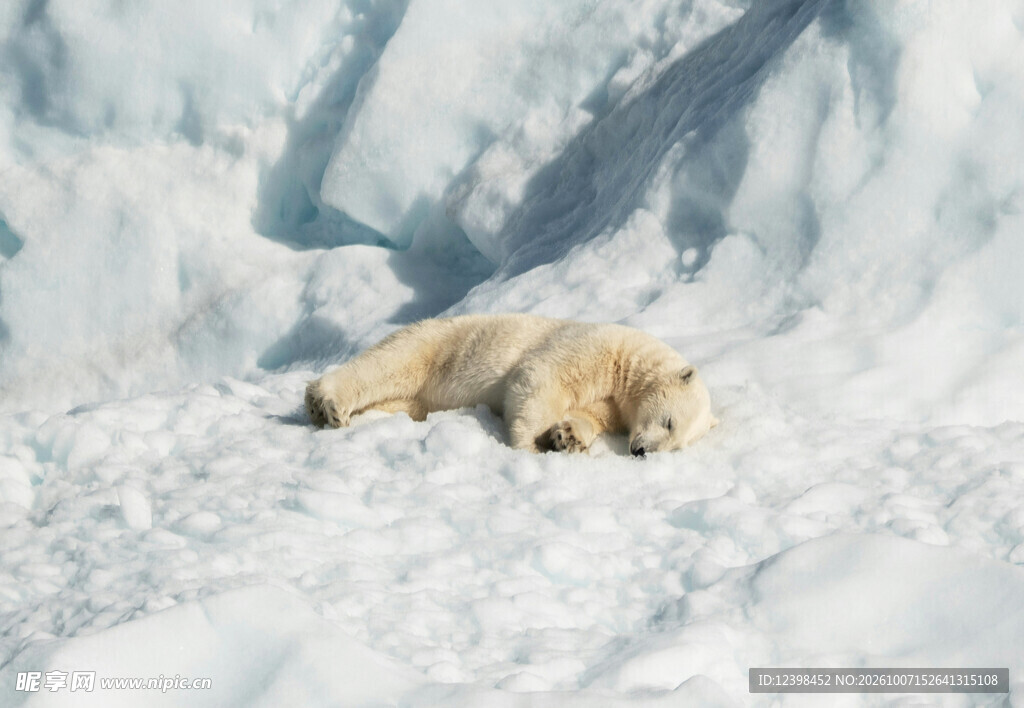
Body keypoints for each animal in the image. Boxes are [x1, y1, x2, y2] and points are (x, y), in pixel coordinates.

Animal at [305, 314, 717, 455]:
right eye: (669, 422)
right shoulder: (593, 347)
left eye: (677, 445)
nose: (641, 451)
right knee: (389, 362)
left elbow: (588, 414)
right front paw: (535, 444)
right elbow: (540, 377)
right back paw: (326, 403)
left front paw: (568, 437)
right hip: (440, 343)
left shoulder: (614, 406)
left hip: (418, 397)